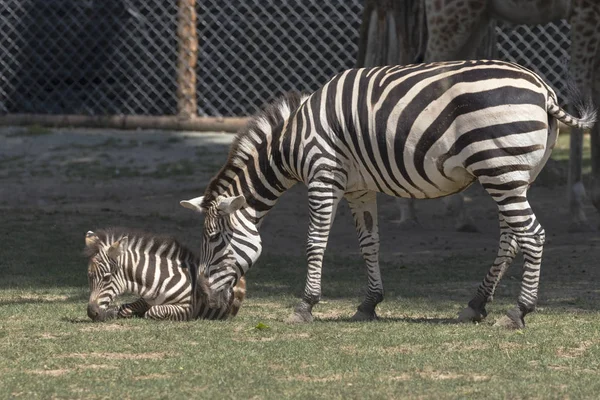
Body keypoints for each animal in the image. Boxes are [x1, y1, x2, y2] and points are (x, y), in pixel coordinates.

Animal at [84, 228, 246, 322]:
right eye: (89, 276)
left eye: (107, 278)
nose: (91, 313)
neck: (156, 281)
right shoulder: (146, 300)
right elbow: (124, 308)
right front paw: (113, 312)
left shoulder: (187, 309)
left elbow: (152, 312)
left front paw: (139, 314)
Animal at [180, 58, 592, 328]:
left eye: (215, 240)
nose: (203, 300)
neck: (292, 143)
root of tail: (543, 89)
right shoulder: (359, 188)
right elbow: (370, 243)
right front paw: (368, 304)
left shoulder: (322, 174)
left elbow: (315, 241)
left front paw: (305, 306)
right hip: (514, 175)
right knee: (511, 238)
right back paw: (475, 305)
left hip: (499, 169)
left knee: (532, 235)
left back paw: (517, 313)